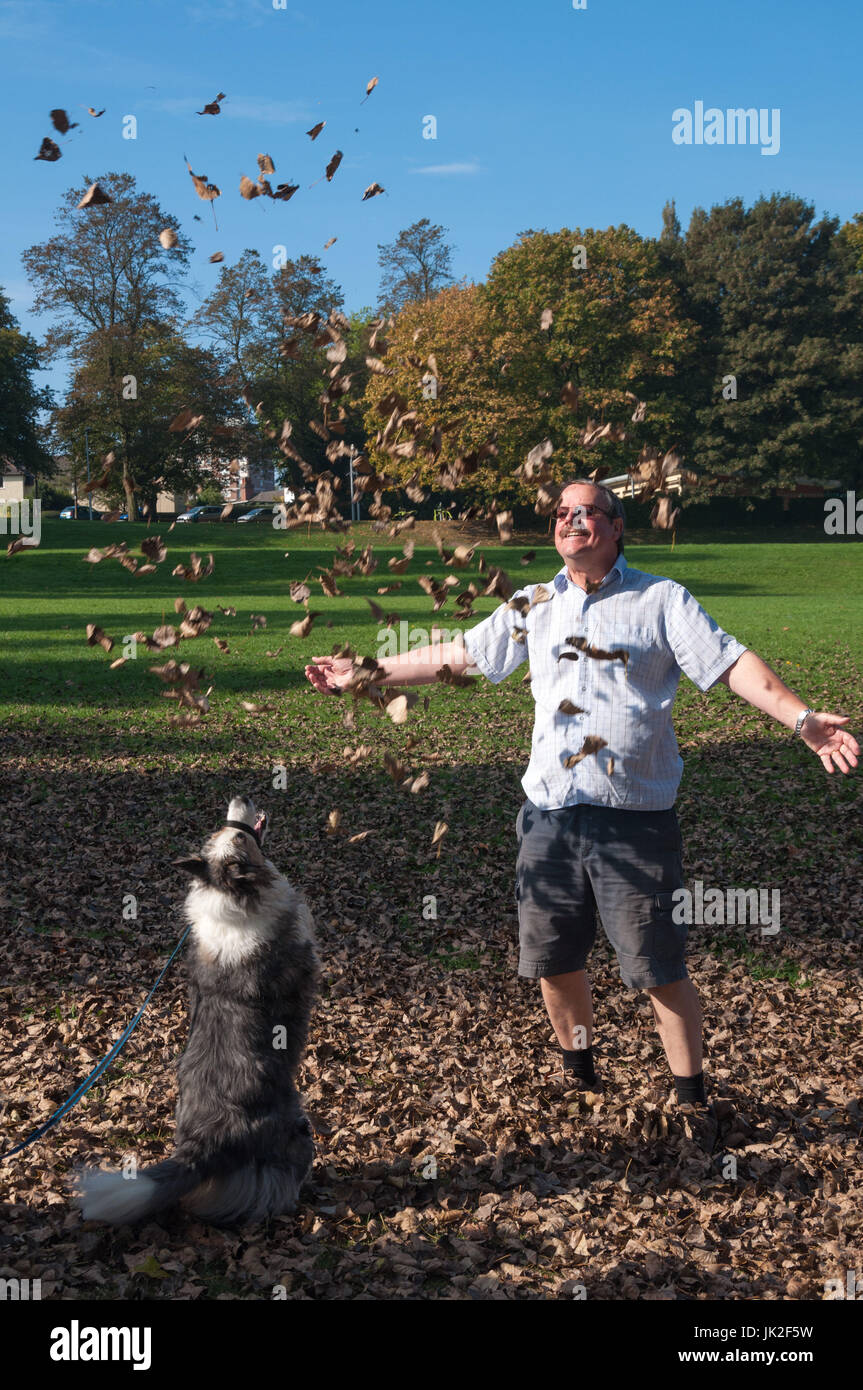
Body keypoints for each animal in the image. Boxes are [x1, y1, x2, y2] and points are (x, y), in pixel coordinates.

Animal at [75, 800, 318, 1223]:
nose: (239, 801)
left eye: (223, 832)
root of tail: (202, 1145)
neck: (231, 894)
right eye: (238, 836)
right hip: (298, 1130)